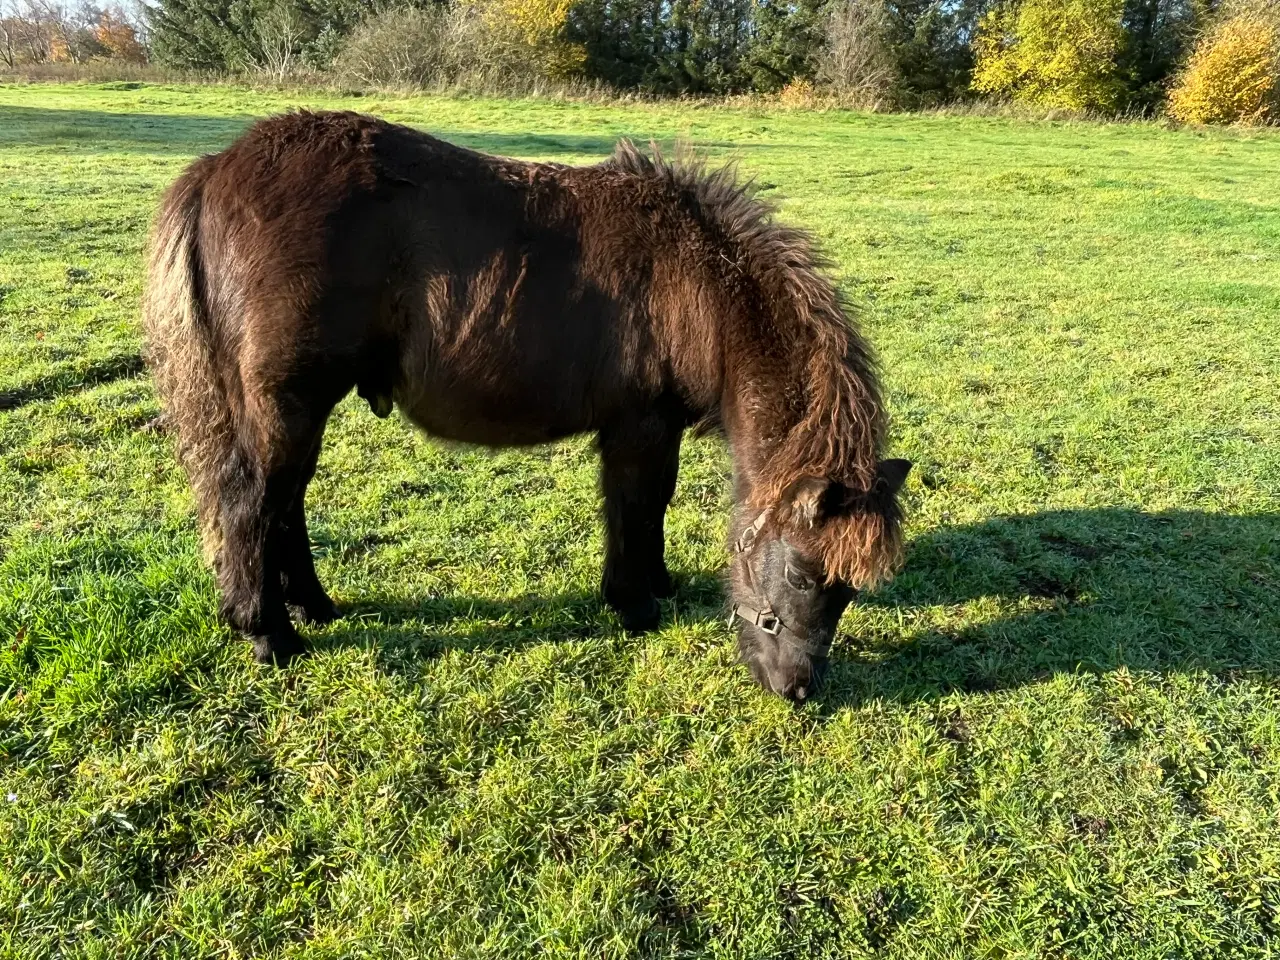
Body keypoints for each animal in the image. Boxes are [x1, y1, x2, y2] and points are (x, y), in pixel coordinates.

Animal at [142, 110, 911, 701]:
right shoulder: (639, 426)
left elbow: (651, 508)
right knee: (254, 503)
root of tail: (215, 170)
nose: (798, 690)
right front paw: (632, 602)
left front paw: (658, 585)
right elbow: (635, 507)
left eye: (848, 591)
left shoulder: (648, 427)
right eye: (806, 574)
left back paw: (313, 605)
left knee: (286, 502)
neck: (702, 284)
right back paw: (270, 634)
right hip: (289, 404)